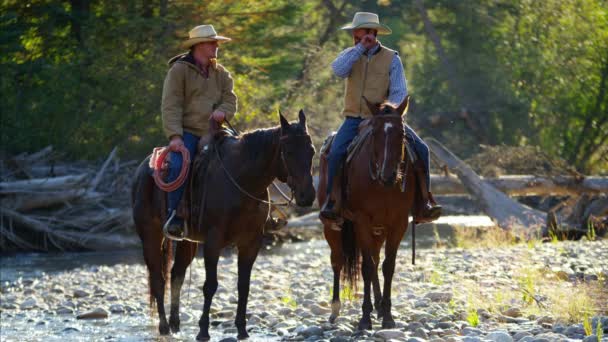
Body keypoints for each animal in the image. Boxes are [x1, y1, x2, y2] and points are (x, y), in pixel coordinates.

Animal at [131, 111, 316, 340]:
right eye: (288, 151)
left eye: (312, 150)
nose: (307, 196)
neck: (241, 181)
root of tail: (142, 170)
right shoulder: (214, 241)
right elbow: (210, 285)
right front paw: (203, 331)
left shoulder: (251, 242)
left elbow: (244, 285)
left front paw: (242, 330)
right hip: (150, 236)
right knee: (158, 278)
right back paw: (164, 327)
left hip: (187, 242)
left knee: (176, 275)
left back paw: (175, 324)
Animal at [318, 97, 414, 330]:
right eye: (375, 133)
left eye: (402, 134)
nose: (388, 175)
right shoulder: (361, 221)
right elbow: (367, 268)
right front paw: (364, 318)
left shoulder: (398, 223)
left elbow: (387, 266)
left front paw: (387, 315)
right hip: (333, 227)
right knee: (338, 260)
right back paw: (335, 310)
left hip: (377, 230)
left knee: (376, 258)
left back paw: (378, 306)